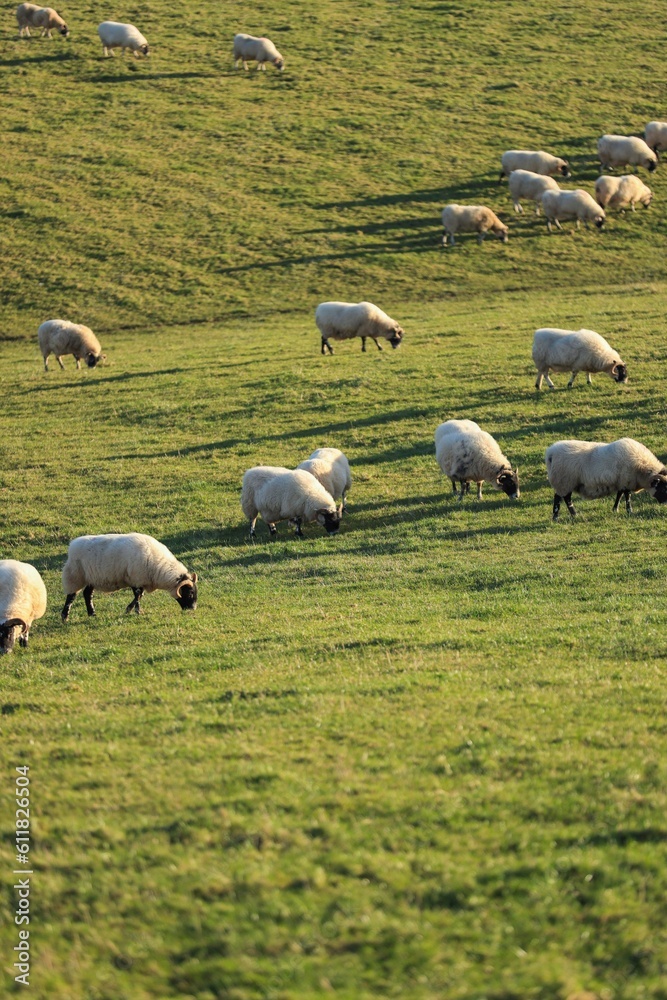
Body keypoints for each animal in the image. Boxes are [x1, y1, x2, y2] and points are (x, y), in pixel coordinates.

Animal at [61, 533, 197, 620]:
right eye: (190, 593)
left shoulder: (137, 581)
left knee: (87, 594)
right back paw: (65, 616)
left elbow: (139, 595)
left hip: (91, 578)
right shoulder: (136, 579)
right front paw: (132, 610)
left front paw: (133, 610)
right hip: (75, 575)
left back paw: (92, 614)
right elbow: (138, 595)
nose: (192, 609)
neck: (159, 566)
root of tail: (73, 544)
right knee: (71, 596)